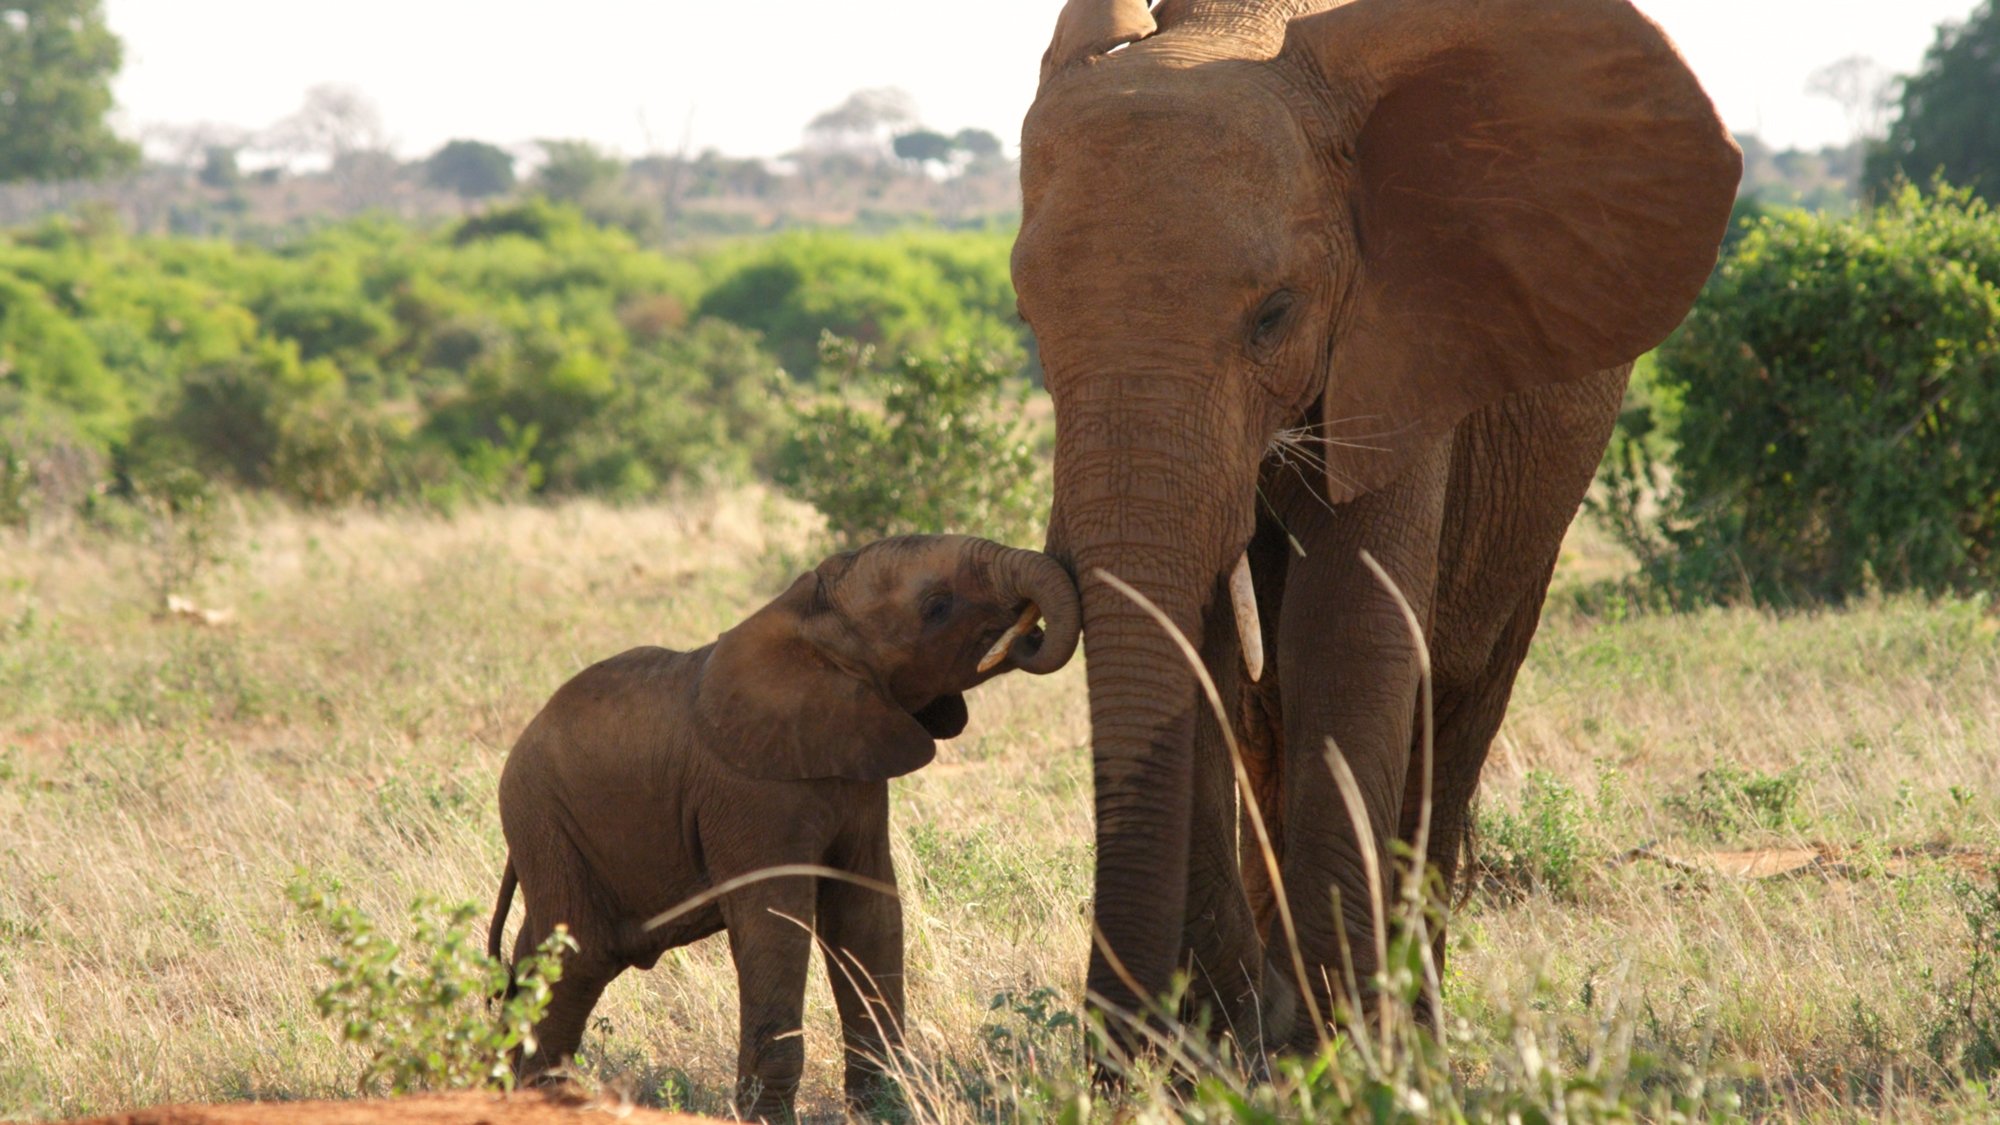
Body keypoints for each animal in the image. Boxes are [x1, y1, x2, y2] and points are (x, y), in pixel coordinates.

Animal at [484, 532, 1080, 1112]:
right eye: (937, 606)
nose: (1023, 635)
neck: (811, 623)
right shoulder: (749, 793)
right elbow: (775, 923)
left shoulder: (854, 769)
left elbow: (866, 913)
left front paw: (883, 1107)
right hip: (545, 822)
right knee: (575, 962)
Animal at [1016, 0, 1736, 1048]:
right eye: (1029, 319)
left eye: (1274, 315)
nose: (1117, 1059)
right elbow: (1206, 654)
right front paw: (1245, 1041)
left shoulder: (1408, 339)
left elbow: (1348, 632)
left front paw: (1338, 1051)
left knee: (1457, 709)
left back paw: (1414, 1034)